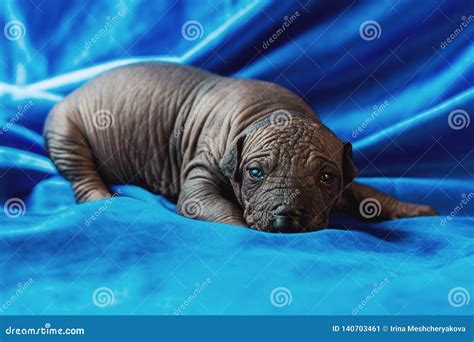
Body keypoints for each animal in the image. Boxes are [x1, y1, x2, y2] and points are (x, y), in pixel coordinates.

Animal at [44, 61, 436, 232]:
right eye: (255, 172)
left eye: (326, 177)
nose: (288, 215)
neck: (273, 111)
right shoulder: (201, 175)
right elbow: (218, 211)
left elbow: (368, 194)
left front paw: (413, 209)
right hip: (64, 129)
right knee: (79, 171)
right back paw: (99, 197)